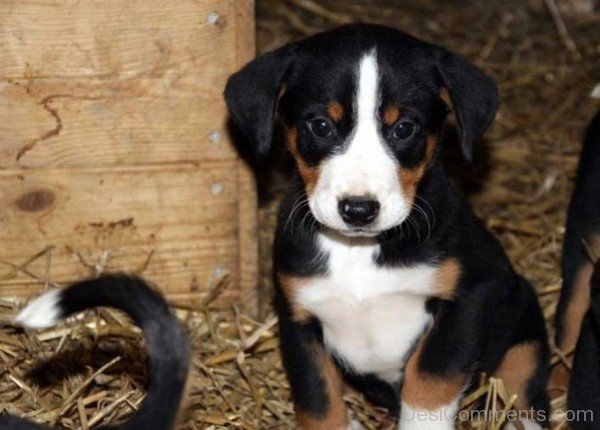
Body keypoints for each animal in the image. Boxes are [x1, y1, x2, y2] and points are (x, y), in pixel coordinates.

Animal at [224, 24, 548, 430]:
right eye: (321, 125)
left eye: (404, 128)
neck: (359, 251)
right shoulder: (297, 316)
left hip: (525, 335)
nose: (358, 210)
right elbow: (318, 400)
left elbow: (431, 378)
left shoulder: (471, 294)